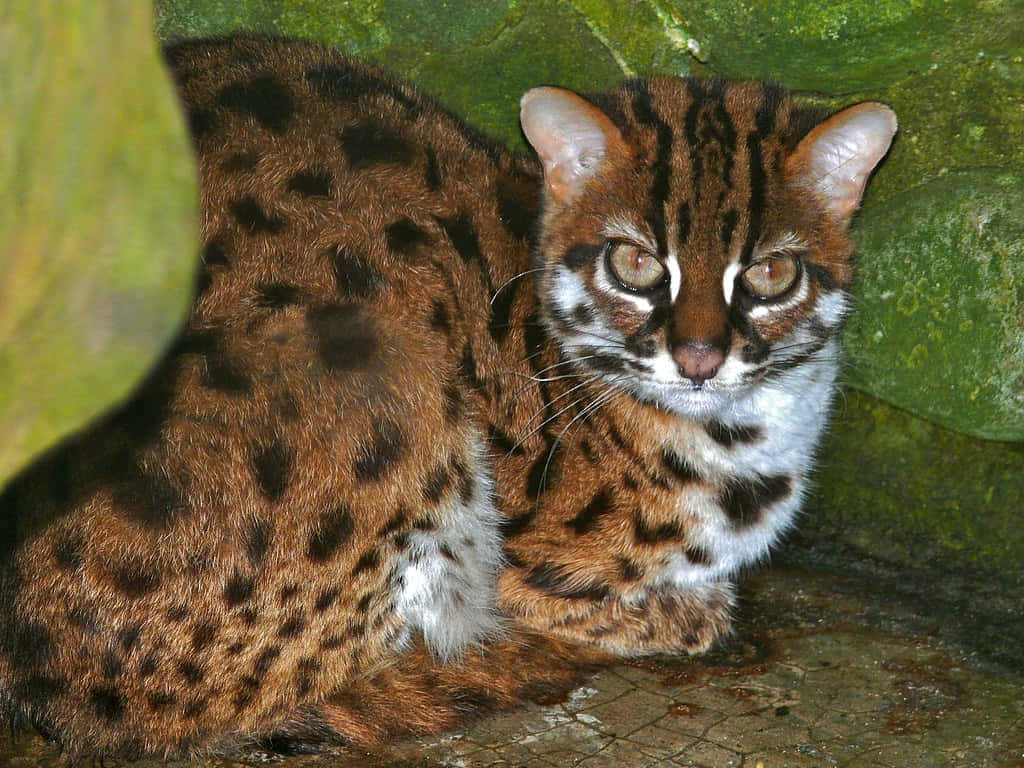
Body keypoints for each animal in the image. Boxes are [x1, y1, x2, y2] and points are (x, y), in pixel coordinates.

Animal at [0, 34, 892, 757]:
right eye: (635, 263)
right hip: (387, 376)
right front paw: (681, 612)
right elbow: (565, 600)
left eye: (772, 274)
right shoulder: (516, 555)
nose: (701, 358)